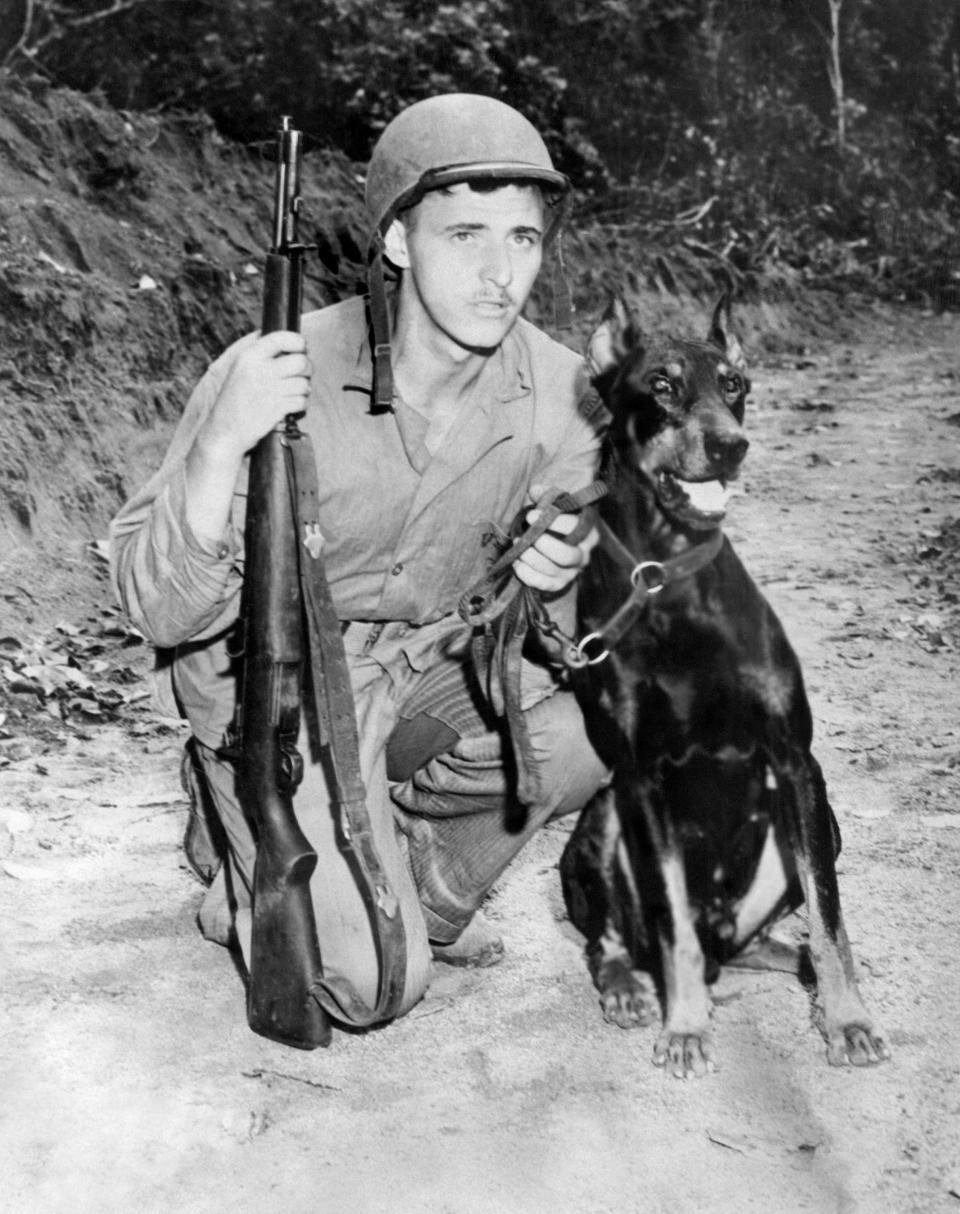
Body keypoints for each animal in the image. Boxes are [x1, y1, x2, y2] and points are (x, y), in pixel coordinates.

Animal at [558, 298, 888, 1078]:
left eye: (734, 383)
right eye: (662, 384)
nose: (731, 445)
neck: (670, 576)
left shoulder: (796, 762)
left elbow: (831, 917)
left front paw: (848, 1021)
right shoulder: (641, 776)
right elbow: (672, 919)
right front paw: (685, 1028)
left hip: (815, 827)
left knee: (779, 939)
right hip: (604, 814)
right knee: (617, 937)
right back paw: (628, 987)